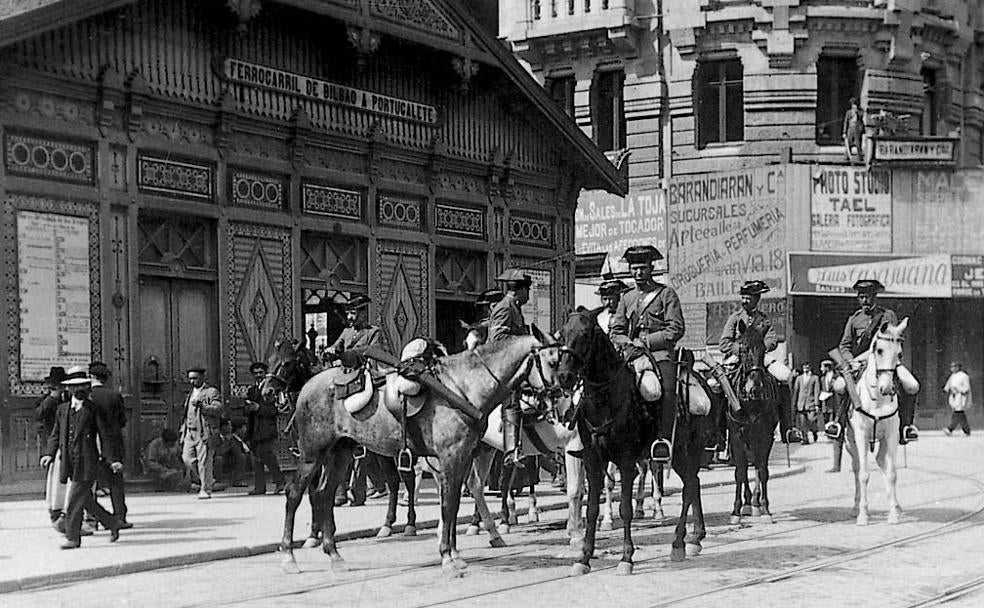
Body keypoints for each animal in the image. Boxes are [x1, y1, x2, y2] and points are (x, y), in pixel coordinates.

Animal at [272, 330, 560, 576]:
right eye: (552, 361)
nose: (558, 395)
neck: (463, 387)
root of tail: (309, 386)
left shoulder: (463, 456)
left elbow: (453, 503)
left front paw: (453, 554)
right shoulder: (450, 457)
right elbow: (447, 504)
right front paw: (447, 558)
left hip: (340, 452)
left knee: (324, 494)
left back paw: (334, 555)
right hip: (313, 453)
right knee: (295, 494)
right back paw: (288, 557)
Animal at [552, 308, 716, 576]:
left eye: (585, 333)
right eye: (562, 333)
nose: (564, 376)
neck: (606, 398)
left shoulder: (626, 461)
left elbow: (626, 509)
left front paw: (626, 558)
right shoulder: (593, 460)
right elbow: (592, 508)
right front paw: (584, 558)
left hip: (686, 451)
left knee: (689, 488)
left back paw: (678, 544)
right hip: (680, 457)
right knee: (694, 484)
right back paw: (695, 538)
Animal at [728, 318, 780, 524]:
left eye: (763, 349)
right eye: (742, 348)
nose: (754, 388)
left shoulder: (766, 437)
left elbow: (762, 471)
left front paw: (765, 509)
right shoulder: (736, 437)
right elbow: (740, 473)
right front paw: (736, 511)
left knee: (757, 467)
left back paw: (756, 504)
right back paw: (748, 503)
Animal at [844, 318, 916, 528]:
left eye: (899, 354)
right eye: (879, 350)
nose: (887, 388)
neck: (877, 399)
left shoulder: (892, 434)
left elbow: (892, 474)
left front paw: (893, 515)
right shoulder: (861, 435)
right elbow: (863, 475)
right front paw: (863, 516)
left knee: (882, 462)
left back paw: (897, 507)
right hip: (850, 441)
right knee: (857, 467)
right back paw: (855, 507)